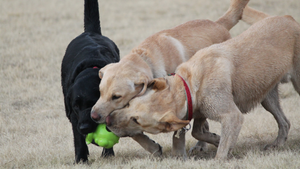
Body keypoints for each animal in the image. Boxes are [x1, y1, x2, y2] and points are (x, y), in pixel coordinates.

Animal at [61, 0, 119, 164]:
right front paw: (81, 159)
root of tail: (91, 32)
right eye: (76, 106)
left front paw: (108, 153)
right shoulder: (74, 115)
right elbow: (78, 139)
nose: (85, 127)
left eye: (93, 102)